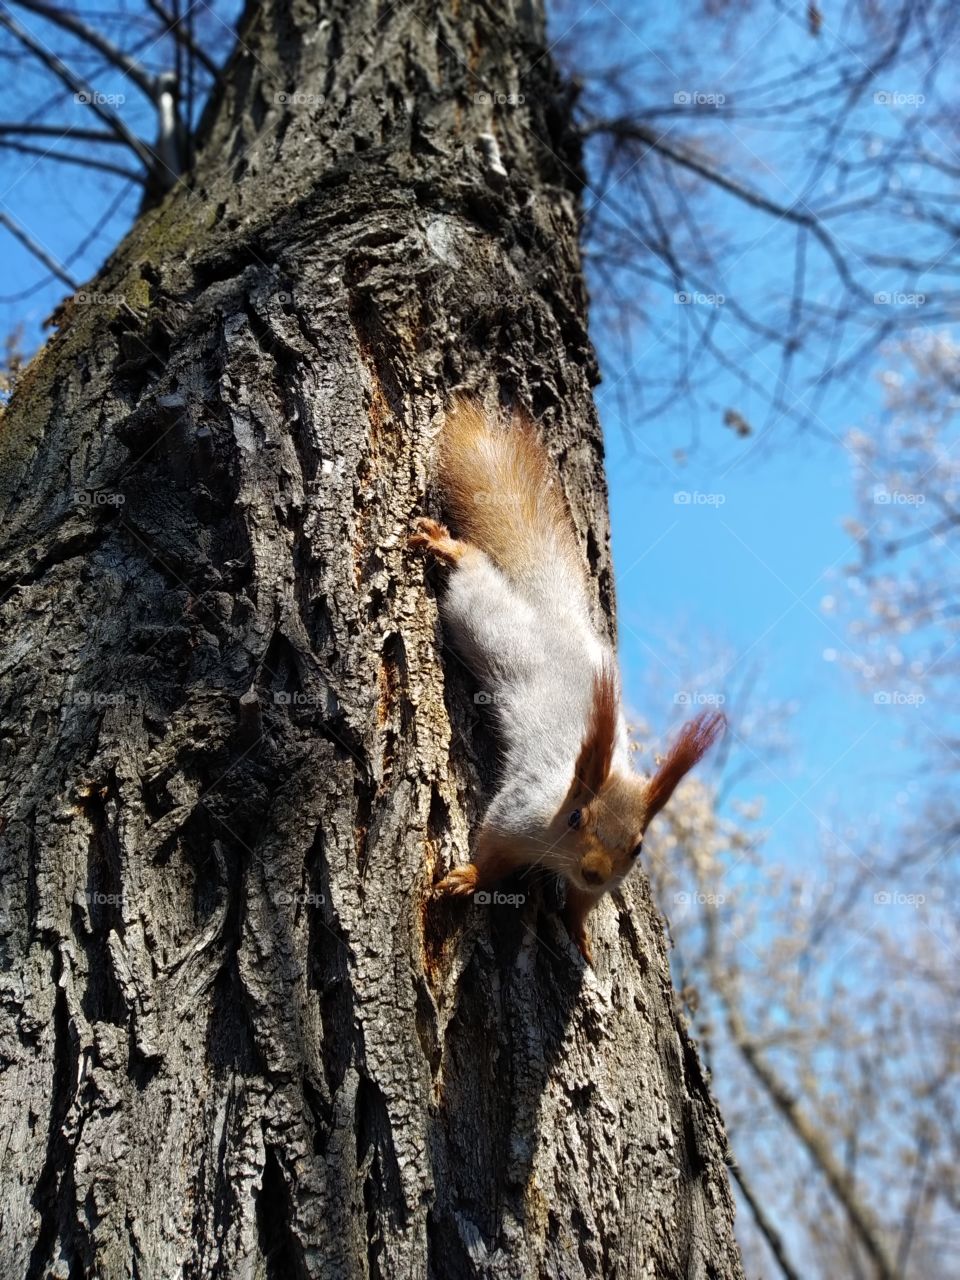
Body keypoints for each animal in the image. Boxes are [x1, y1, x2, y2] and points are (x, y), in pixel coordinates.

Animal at [410, 397, 724, 965]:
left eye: (639, 847)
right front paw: (468, 878)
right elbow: (491, 852)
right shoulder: (517, 813)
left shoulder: (595, 884)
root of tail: (560, 617)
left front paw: (578, 931)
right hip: (486, 621)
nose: (596, 870)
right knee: (473, 576)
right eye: (577, 819)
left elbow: (581, 904)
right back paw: (448, 547)